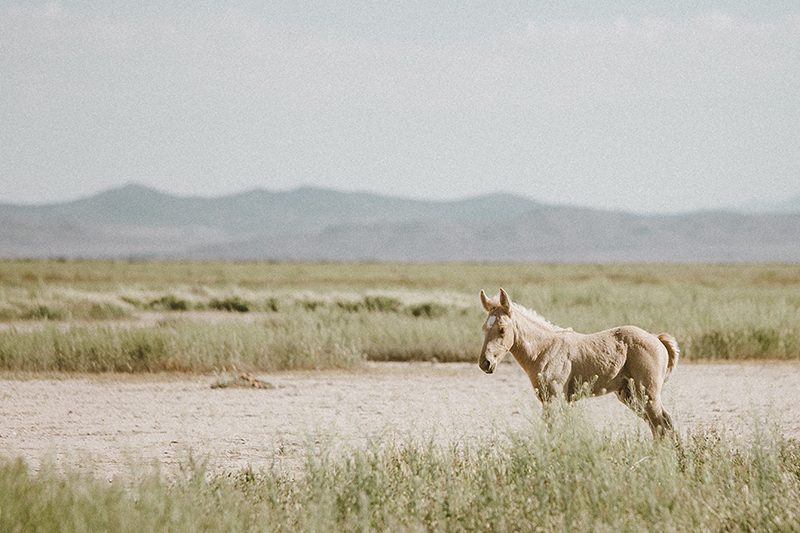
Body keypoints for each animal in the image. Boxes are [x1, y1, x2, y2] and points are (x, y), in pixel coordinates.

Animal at [478, 288, 680, 434]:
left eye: (502, 329)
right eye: (483, 328)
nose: (484, 363)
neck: (544, 349)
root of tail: (657, 338)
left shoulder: (553, 398)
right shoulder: (556, 400)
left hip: (648, 393)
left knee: (663, 423)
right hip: (628, 394)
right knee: (657, 425)